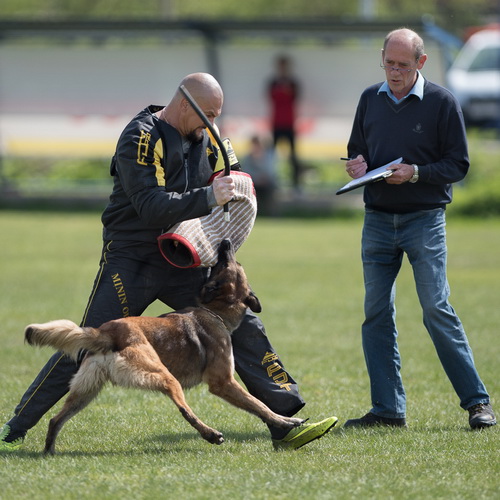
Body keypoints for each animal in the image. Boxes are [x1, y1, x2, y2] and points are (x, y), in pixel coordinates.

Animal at [25, 238, 302, 454]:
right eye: (227, 264)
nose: (225, 243)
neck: (215, 311)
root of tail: (108, 331)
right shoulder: (223, 383)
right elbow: (259, 405)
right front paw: (285, 421)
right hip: (164, 376)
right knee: (184, 410)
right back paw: (210, 434)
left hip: (86, 390)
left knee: (55, 419)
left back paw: (48, 451)